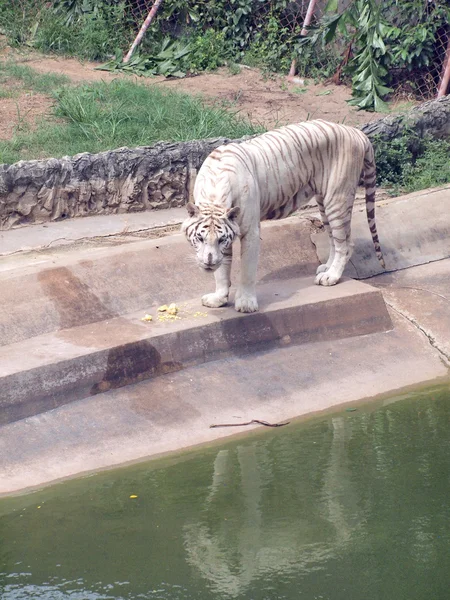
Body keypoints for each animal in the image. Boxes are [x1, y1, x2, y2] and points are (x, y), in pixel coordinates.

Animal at [181, 118, 384, 314]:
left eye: (221, 239)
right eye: (200, 238)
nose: (208, 263)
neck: (214, 196)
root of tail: (355, 131)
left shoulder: (250, 232)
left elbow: (247, 270)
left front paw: (246, 303)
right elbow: (222, 271)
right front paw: (219, 299)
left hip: (337, 198)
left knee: (346, 244)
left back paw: (331, 276)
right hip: (324, 203)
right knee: (335, 239)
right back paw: (326, 268)